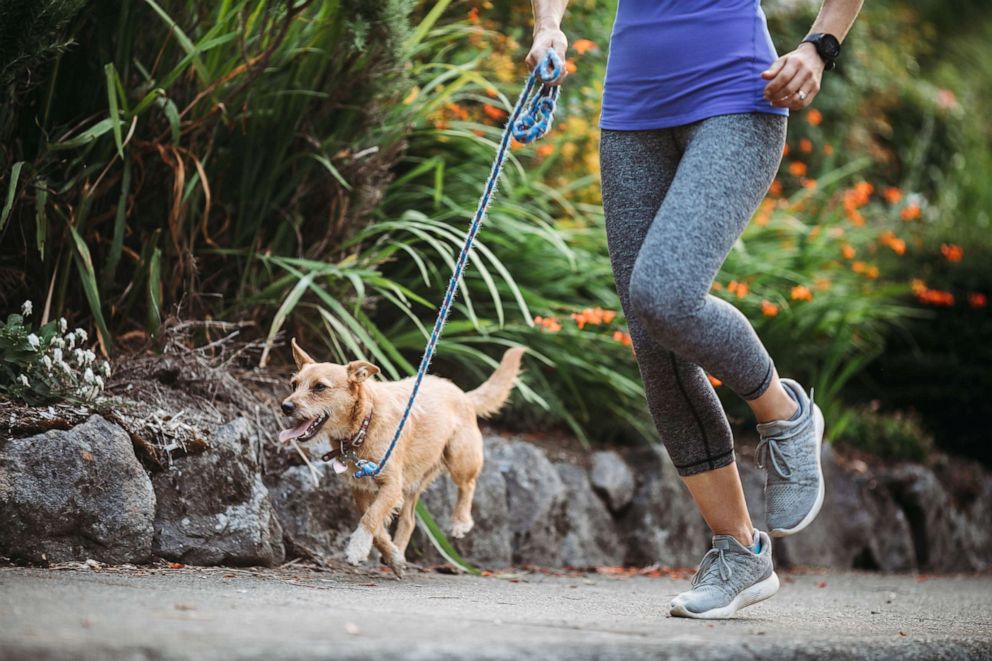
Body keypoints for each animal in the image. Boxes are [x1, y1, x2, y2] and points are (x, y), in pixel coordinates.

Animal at [280, 338, 528, 576]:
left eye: (320, 387)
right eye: (294, 384)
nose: (285, 406)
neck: (365, 422)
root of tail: (463, 394)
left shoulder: (391, 485)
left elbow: (371, 517)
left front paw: (357, 547)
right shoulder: (362, 490)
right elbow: (377, 526)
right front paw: (391, 555)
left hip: (458, 459)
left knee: (468, 484)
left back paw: (460, 521)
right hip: (413, 482)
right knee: (409, 520)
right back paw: (397, 551)